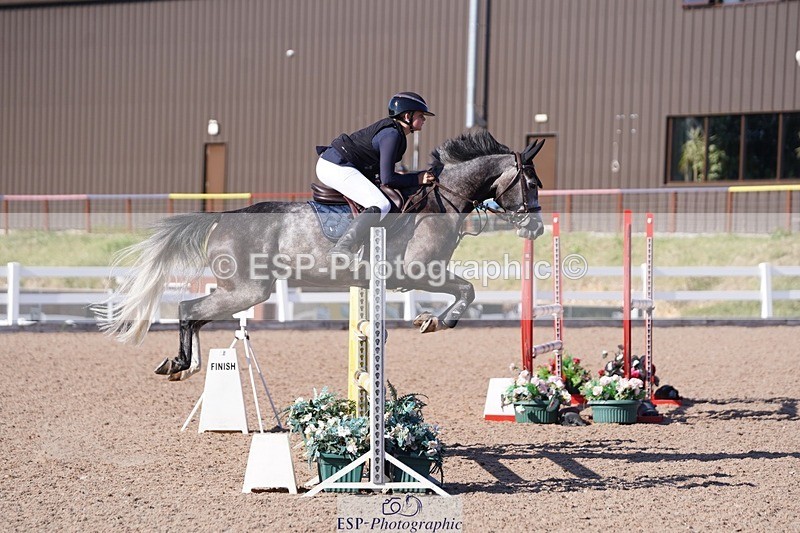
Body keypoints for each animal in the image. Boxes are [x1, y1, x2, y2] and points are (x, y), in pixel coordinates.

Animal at [100, 128, 546, 381]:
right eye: (531, 183)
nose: (537, 228)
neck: (442, 199)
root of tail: (223, 218)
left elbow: (465, 290)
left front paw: (430, 319)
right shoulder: (420, 272)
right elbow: (467, 291)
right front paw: (435, 321)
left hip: (242, 290)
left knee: (193, 312)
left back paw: (182, 365)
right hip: (248, 290)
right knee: (188, 309)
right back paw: (179, 364)